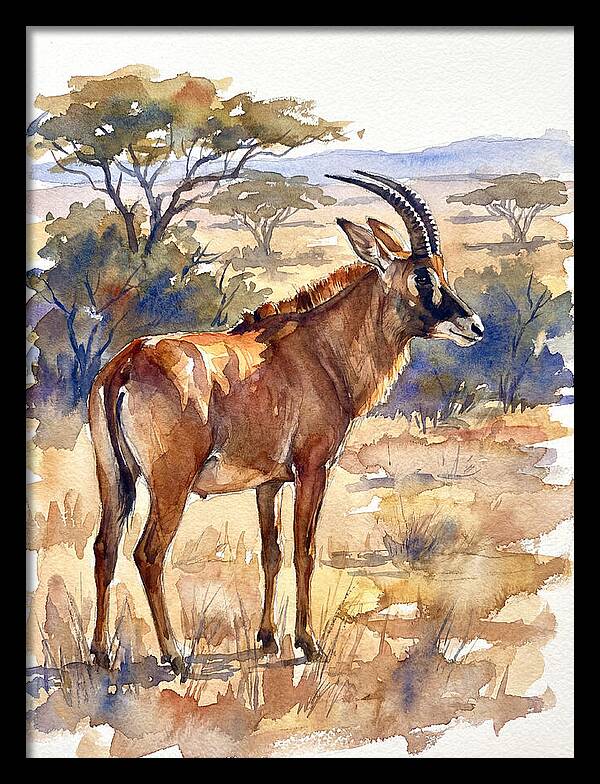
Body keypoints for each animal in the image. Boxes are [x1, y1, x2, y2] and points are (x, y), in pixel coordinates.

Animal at [89, 171, 484, 674]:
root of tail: (124, 366)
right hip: (170, 483)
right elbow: (305, 550)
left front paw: (266, 637)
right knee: (149, 554)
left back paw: (100, 653)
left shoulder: (269, 482)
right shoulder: (313, 468)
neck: (320, 348)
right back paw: (175, 655)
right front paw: (308, 643)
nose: (474, 326)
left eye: (441, 271)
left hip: (113, 478)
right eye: (421, 276)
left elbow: (271, 553)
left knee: (105, 547)